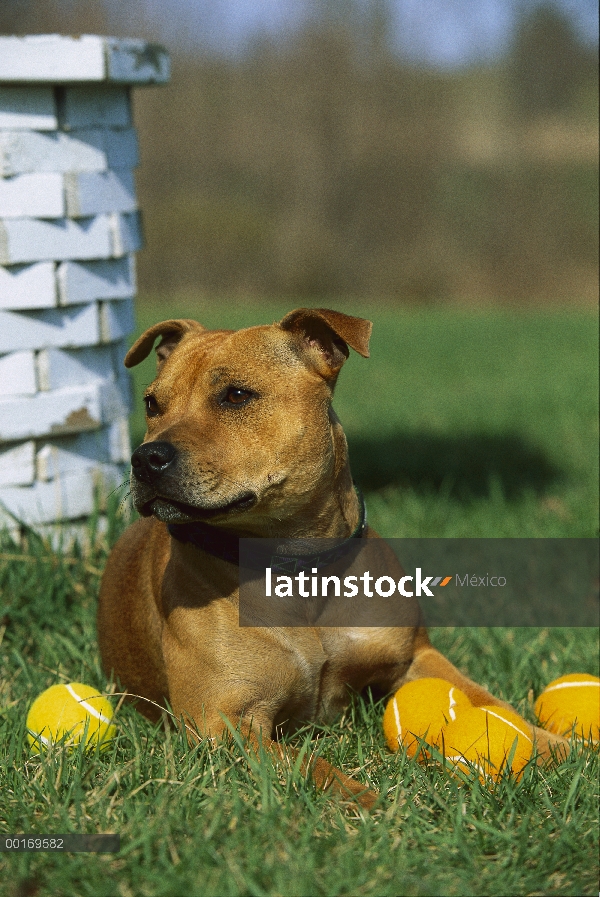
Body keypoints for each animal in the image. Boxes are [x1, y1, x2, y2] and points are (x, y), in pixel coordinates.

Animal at [97, 306, 564, 804]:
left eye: (236, 395)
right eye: (152, 404)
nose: (145, 458)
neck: (300, 566)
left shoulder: (414, 658)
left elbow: (490, 701)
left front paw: (558, 745)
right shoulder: (224, 724)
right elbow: (312, 767)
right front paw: (370, 803)